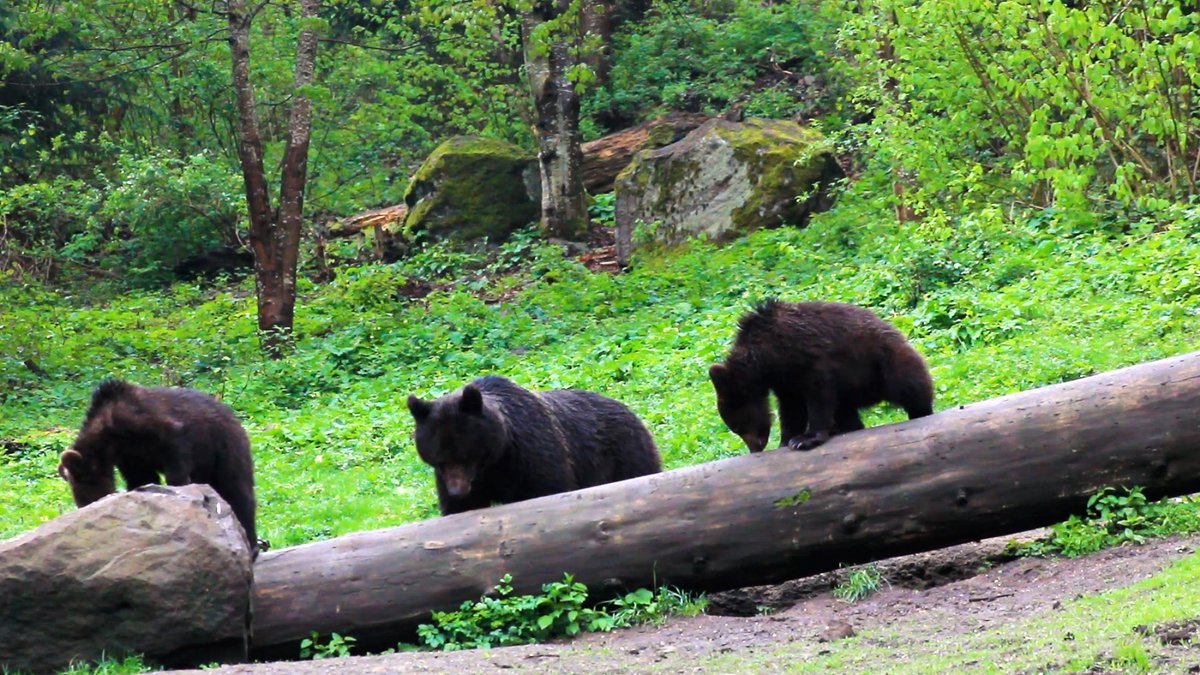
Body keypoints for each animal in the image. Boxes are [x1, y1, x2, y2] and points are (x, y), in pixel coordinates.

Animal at [57, 379, 258, 552]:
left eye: (87, 499)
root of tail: (232, 414)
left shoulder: (159, 431)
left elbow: (175, 459)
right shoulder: (132, 458)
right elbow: (142, 478)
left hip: (225, 446)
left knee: (237, 489)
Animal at [406, 375, 662, 515]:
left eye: (467, 456)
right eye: (440, 461)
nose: (458, 490)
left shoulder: (532, 452)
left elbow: (549, 488)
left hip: (624, 453)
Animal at [709, 300, 934, 453]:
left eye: (737, 426)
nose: (755, 447)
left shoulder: (809, 359)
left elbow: (818, 395)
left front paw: (805, 439)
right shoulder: (785, 381)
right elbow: (792, 408)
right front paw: (787, 439)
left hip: (884, 362)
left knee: (909, 383)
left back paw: (920, 410)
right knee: (846, 409)